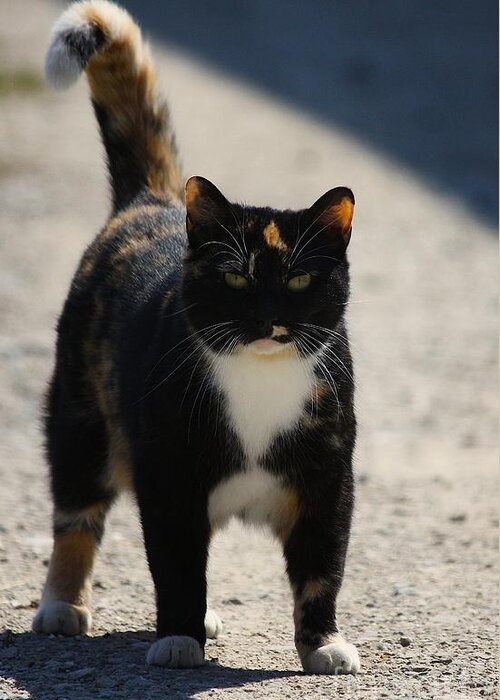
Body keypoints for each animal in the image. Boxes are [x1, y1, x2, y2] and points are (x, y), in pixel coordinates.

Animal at [33, 1, 360, 680]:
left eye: (299, 279)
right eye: (235, 277)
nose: (268, 319)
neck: (259, 384)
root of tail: (150, 200)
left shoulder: (328, 479)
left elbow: (323, 568)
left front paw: (324, 643)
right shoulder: (169, 475)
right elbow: (176, 564)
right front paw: (178, 638)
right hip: (79, 415)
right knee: (76, 514)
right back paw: (61, 606)